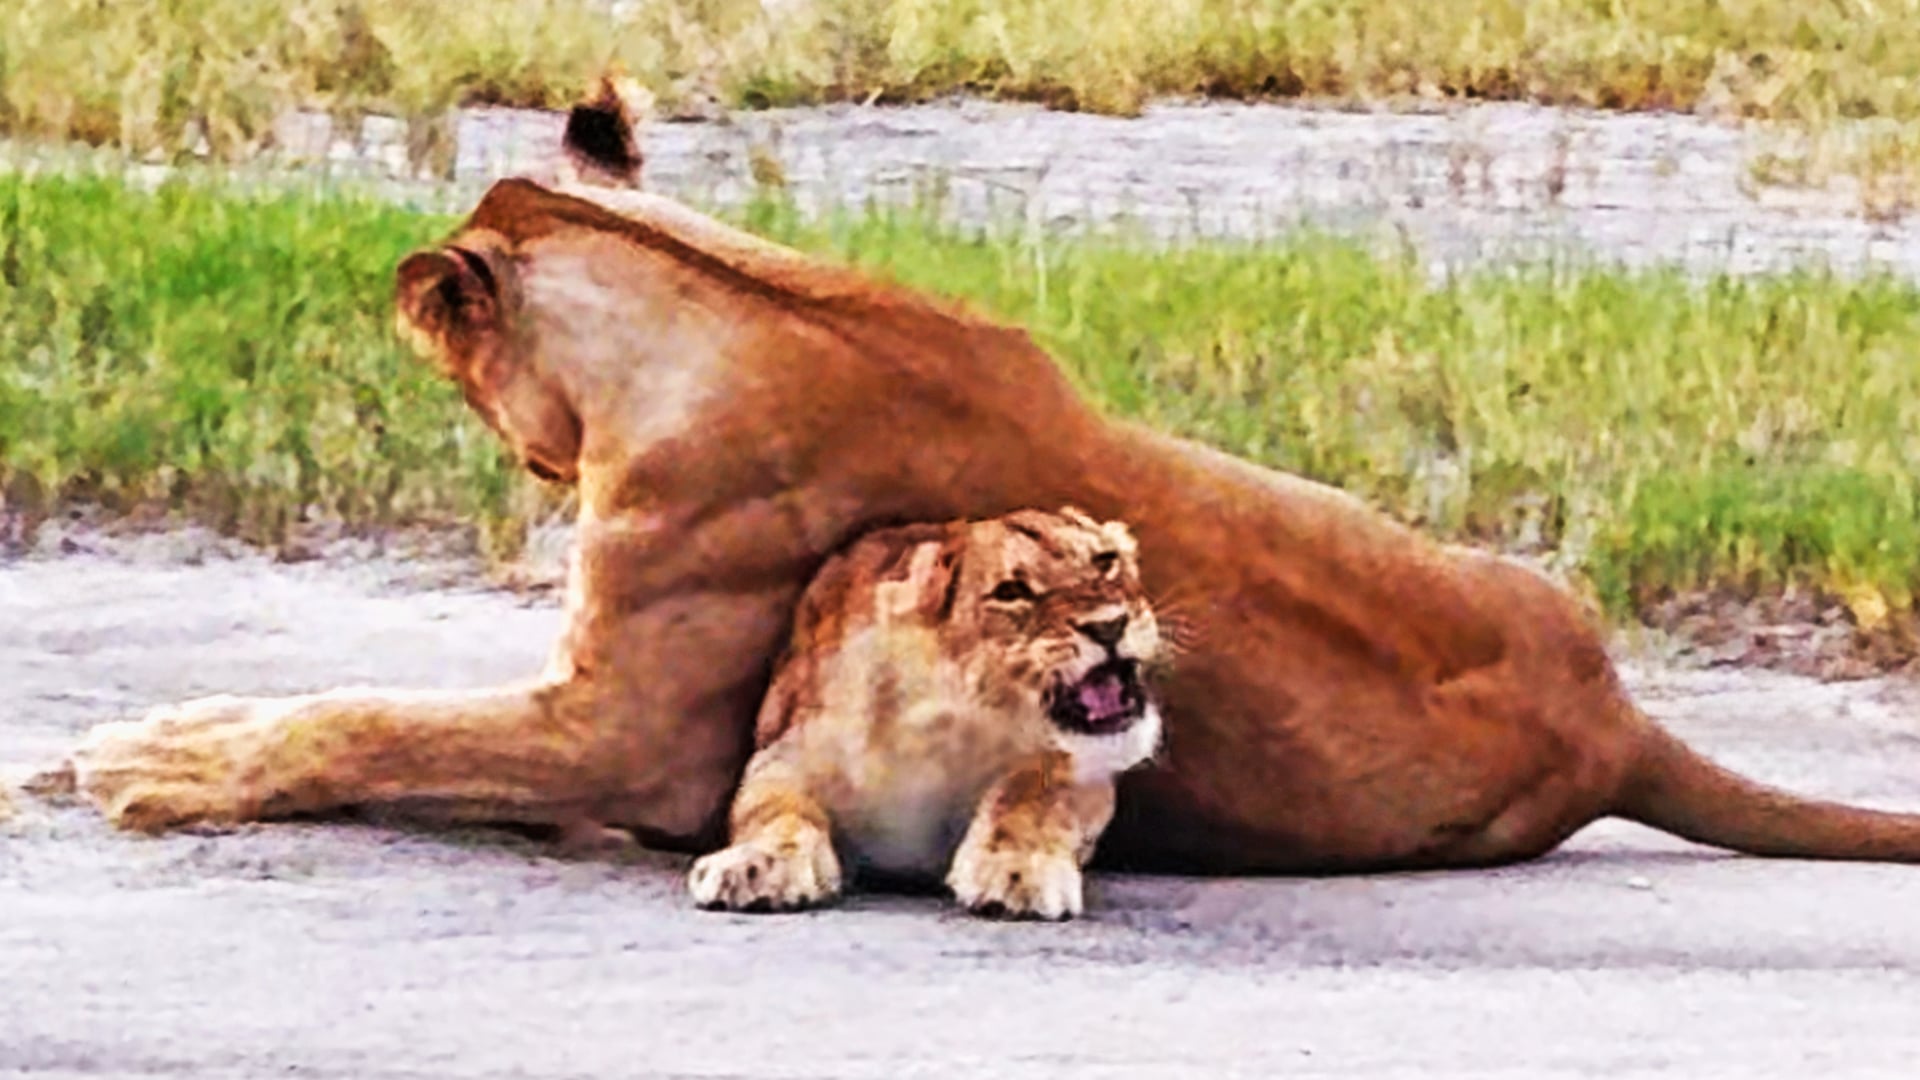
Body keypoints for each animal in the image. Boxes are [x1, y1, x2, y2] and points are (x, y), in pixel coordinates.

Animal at [688, 507, 1163, 919]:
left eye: (1106, 562)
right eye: (1011, 592)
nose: (1109, 626)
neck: (942, 736)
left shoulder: (1078, 765)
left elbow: (1030, 798)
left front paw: (1017, 870)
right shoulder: (784, 754)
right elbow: (775, 809)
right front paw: (754, 864)